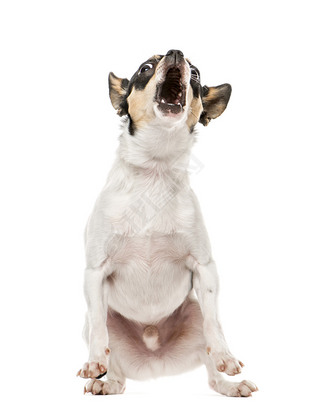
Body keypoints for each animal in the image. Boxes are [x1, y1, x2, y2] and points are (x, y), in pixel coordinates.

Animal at [77, 50, 258, 398]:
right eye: (145, 67)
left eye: (197, 73)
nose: (177, 53)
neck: (155, 169)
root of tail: (154, 359)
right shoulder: (94, 272)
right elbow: (98, 331)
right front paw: (94, 362)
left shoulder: (204, 268)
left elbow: (215, 323)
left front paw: (227, 356)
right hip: (103, 325)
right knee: (113, 360)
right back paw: (106, 383)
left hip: (195, 312)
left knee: (211, 367)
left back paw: (230, 385)